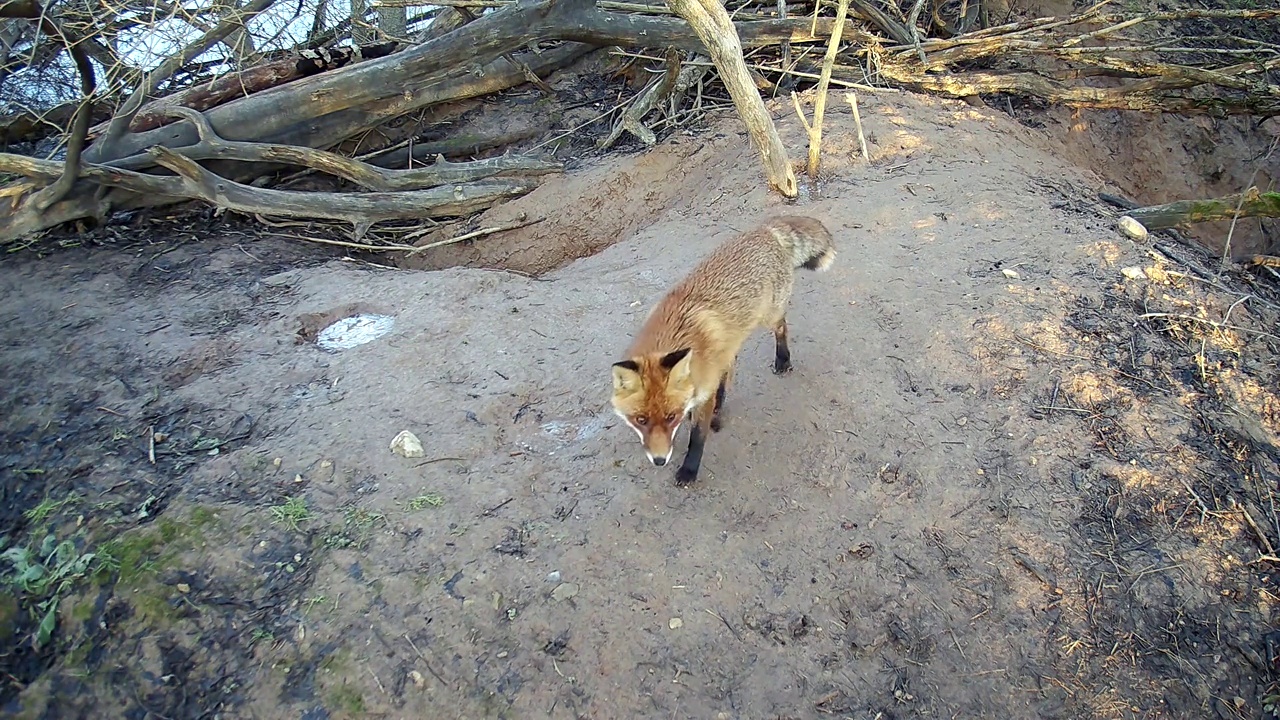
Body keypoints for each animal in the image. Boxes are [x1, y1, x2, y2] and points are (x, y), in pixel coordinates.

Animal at [611, 212, 839, 481]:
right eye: (641, 420)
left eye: (670, 417)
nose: (659, 460)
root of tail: (764, 230)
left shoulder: (704, 393)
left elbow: (698, 438)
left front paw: (689, 470)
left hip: (769, 316)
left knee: (782, 327)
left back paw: (783, 360)